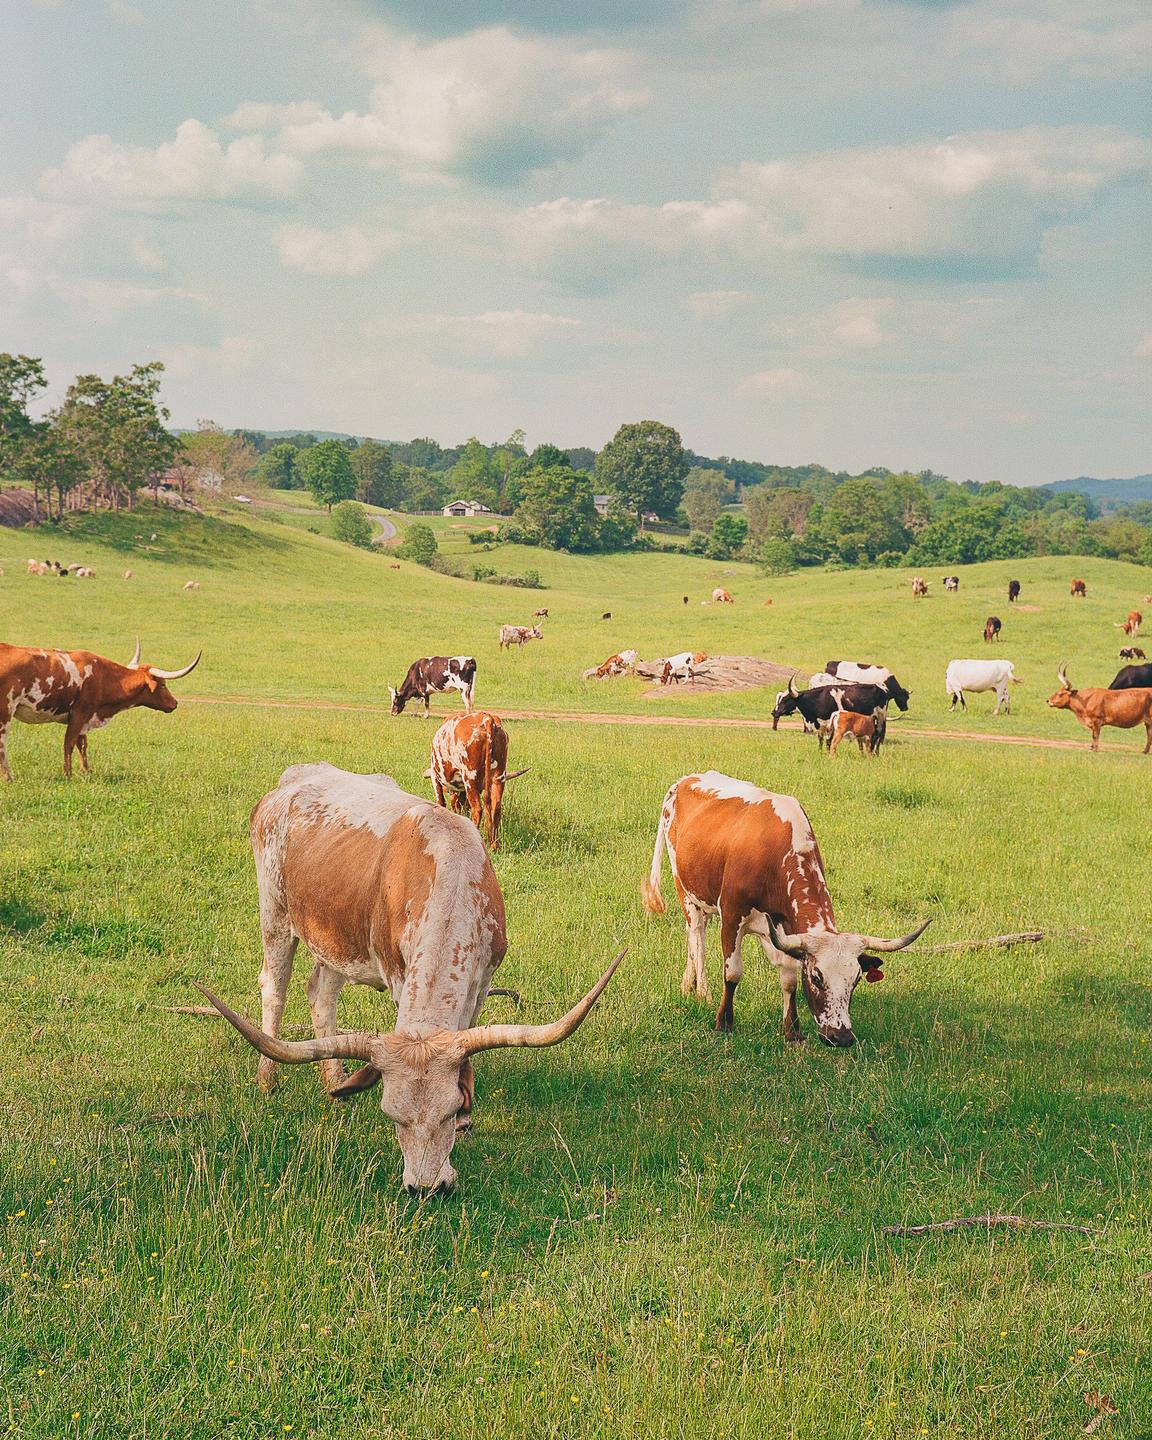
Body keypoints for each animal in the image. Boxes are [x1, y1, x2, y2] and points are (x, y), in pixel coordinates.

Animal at [0, 639, 200, 780]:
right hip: (6, 711)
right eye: (163, 685)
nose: (174, 703)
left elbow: (82, 744)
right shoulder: (80, 714)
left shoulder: (85, 719)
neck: (103, 676)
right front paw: (68, 774)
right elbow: (69, 743)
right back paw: (9, 777)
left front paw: (86, 771)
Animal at [197, 764, 622, 1194]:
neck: (451, 875)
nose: (426, 1187)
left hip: (336, 936)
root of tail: (294, 777)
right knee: (275, 988)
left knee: (320, 992)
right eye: (391, 1115)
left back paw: (335, 1083)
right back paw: (268, 1079)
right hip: (275, 915)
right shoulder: (399, 977)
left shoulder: (483, 980)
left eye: (451, 1109)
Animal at [429, 711, 527, 851]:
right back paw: (494, 846)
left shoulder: (434, 776)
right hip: (499, 777)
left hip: (470, 778)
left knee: (477, 810)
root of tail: (487, 719)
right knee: (496, 809)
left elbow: (441, 801)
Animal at [642, 771, 929, 1042]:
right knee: (697, 936)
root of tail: (685, 780)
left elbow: (789, 980)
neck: (772, 854)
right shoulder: (732, 916)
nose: (841, 1037)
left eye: (856, 980)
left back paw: (687, 984)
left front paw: (793, 1031)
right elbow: (732, 973)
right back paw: (702, 990)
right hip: (685, 890)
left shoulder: (788, 932)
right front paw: (724, 1022)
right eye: (816, 977)